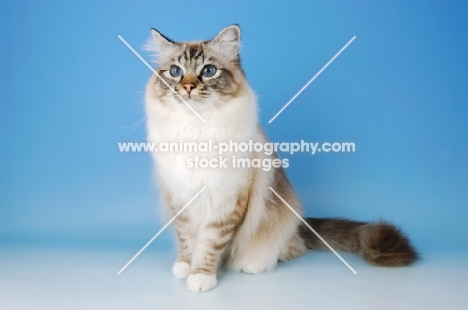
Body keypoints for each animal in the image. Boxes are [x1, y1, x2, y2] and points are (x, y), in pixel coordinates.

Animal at [144, 24, 418, 294]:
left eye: (208, 71)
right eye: (176, 71)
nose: (188, 87)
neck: (196, 129)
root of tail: (298, 223)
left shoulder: (226, 201)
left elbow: (209, 245)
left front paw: (202, 276)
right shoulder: (180, 199)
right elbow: (188, 240)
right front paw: (185, 266)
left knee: (293, 248)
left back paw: (253, 264)